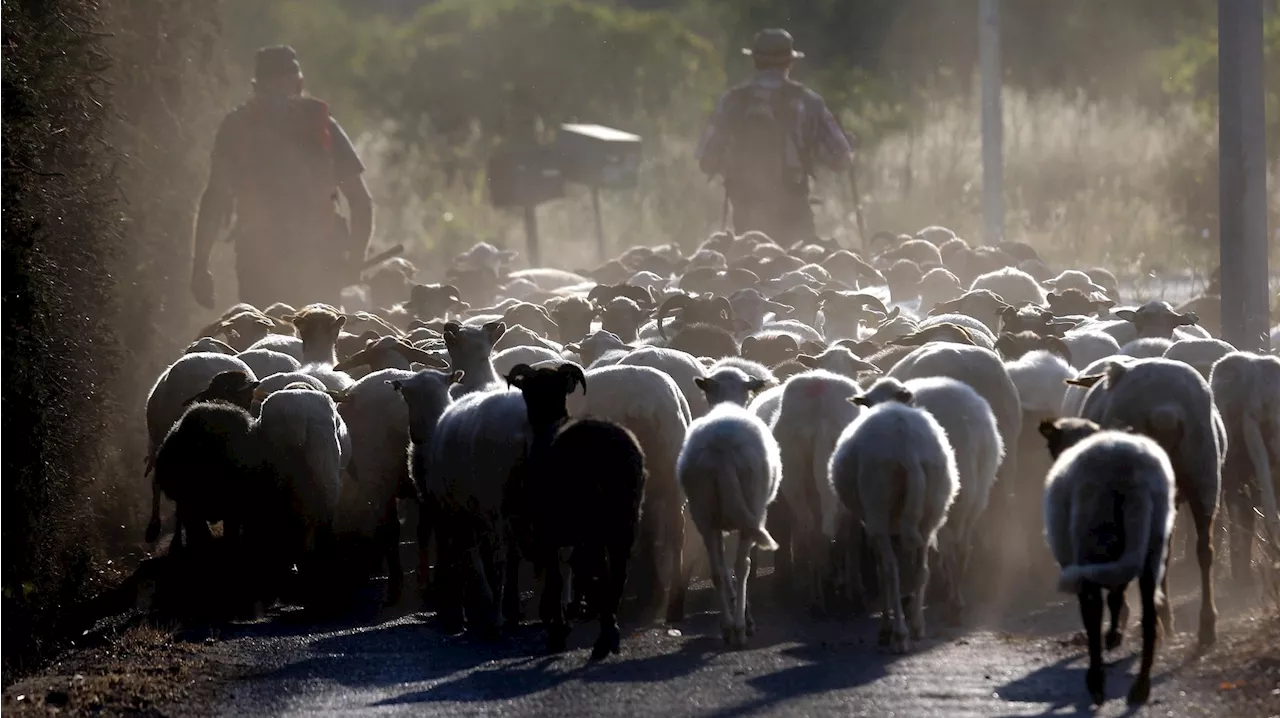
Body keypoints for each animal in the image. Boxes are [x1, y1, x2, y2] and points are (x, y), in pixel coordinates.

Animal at [680, 366, 778, 647]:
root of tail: (722, 449)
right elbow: (740, 567)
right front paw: (745, 617)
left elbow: (723, 570)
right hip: (752, 508)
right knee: (742, 566)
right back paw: (740, 627)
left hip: (703, 511)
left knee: (717, 571)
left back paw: (726, 626)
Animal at [829, 378, 962, 652]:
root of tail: (906, 445)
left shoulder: (871, 526)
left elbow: (883, 571)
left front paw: (886, 628)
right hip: (931, 511)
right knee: (922, 569)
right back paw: (917, 627)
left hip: (877, 506)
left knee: (891, 572)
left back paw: (899, 635)